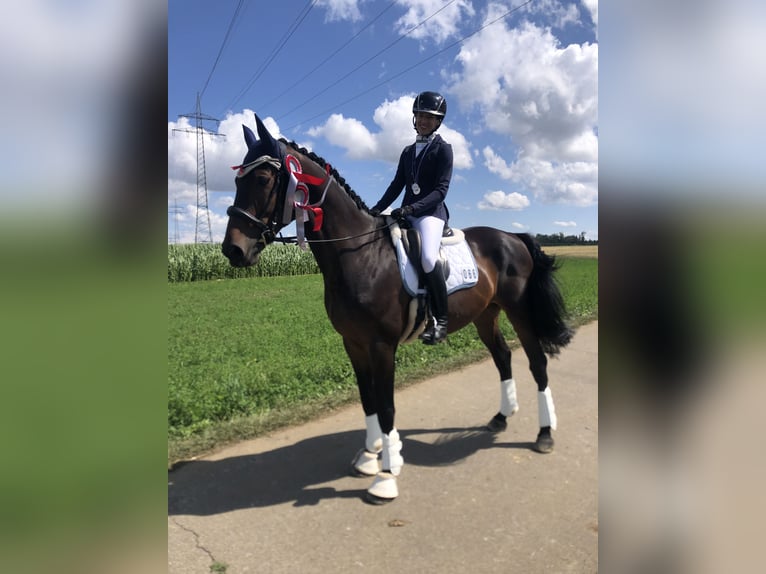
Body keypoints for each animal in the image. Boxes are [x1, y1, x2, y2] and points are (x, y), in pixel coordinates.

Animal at [222, 114, 574, 504]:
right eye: (237, 179)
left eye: (263, 179)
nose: (232, 250)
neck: (359, 254)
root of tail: (513, 237)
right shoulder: (353, 343)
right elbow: (368, 400)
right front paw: (369, 456)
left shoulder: (381, 345)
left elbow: (387, 404)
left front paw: (386, 477)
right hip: (486, 314)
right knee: (502, 356)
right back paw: (501, 417)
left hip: (520, 312)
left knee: (537, 362)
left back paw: (544, 434)